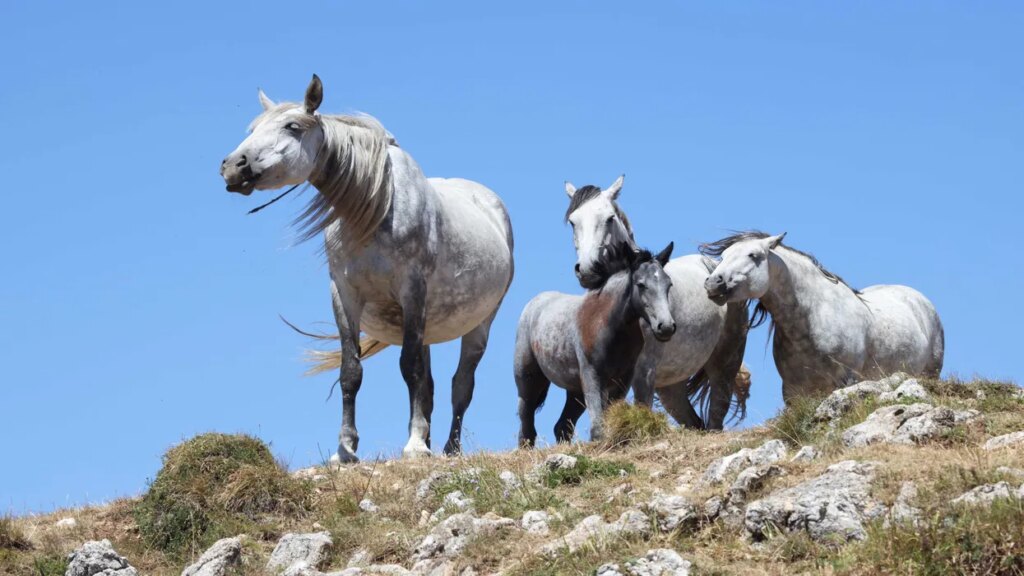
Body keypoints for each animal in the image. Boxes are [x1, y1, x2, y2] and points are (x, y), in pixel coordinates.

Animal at [220, 75, 514, 461]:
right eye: (253, 129)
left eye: (292, 126)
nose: (232, 166)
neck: (376, 206)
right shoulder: (345, 294)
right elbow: (351, 371)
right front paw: (345, 449)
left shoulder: (412, 291)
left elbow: (409, 368)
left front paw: (414, 445)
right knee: (431, 387)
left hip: (479, 324)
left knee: (461, 385)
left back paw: (449, 448)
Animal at [514, 243, 677, 446]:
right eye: (641, 285)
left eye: (668, 284)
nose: (666, 327)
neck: (609, 326)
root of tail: (533, 304)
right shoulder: (592, 374)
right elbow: (598, 426)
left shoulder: (623, 379)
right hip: (528, 379)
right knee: (526, 427)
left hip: (575, 390)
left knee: (562, 426)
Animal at [564, 176, 751, 429]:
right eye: (573, 221)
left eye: (609, 218)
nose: (587, 269)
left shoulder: (644, 373)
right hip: (671, 386)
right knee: (695, 423)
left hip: (724, 365)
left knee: (715, 418)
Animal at [701, 231, 944, 401]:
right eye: (723, 256)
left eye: (753, 255)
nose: (713, 283)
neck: (812, 320)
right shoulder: (793, 390)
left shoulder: (846, 381)